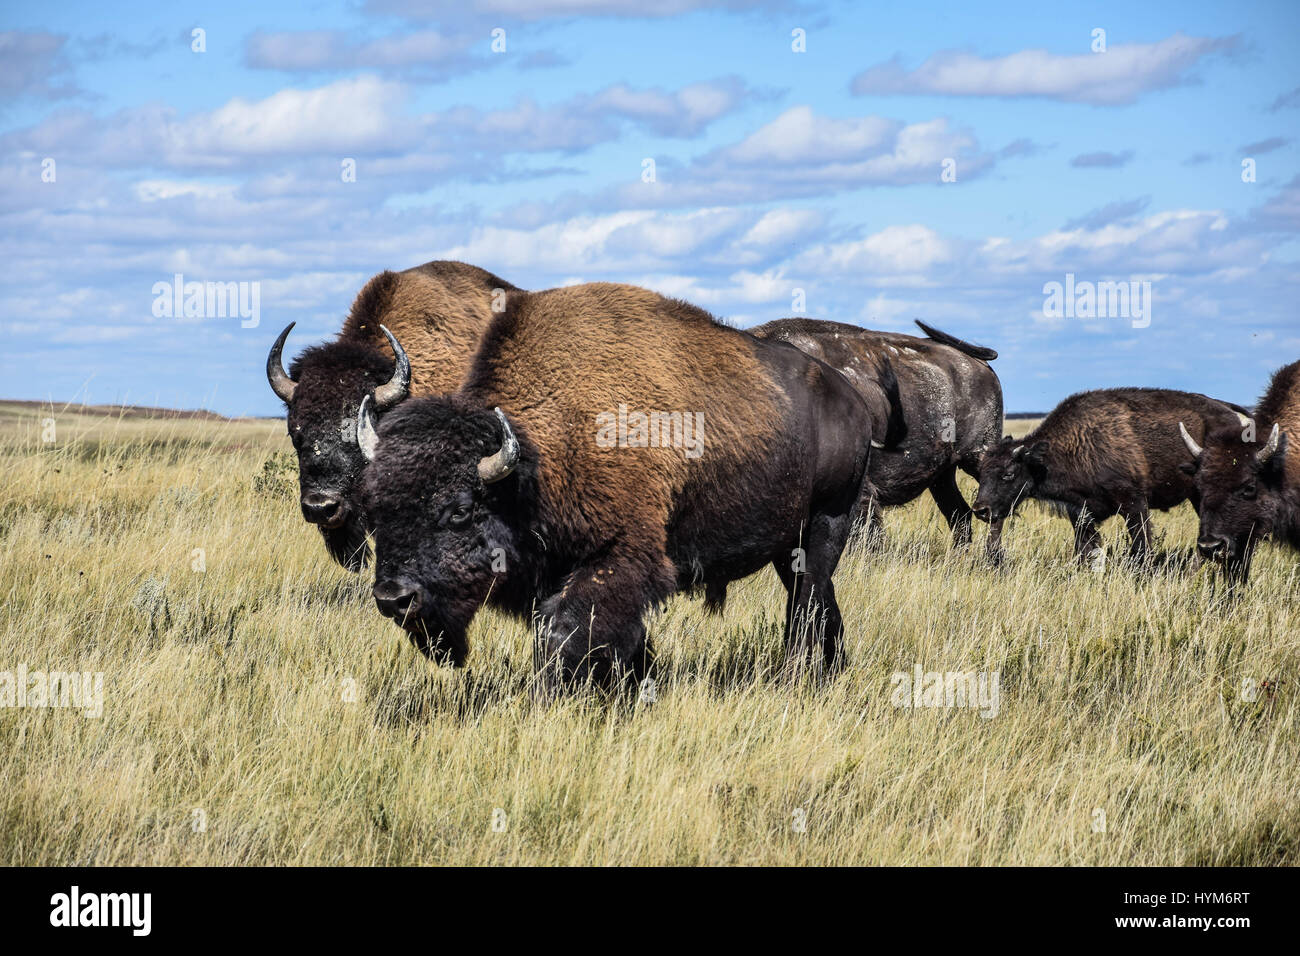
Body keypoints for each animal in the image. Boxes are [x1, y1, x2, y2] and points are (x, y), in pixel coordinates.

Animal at [977, 390, 1248, 564]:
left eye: (1008, 474)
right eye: (981, 474)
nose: (981, 510)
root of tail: (1231, 412)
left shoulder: (1134, 504)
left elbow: (1141, 547)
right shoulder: (1081, 514)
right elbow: (1087, 553)